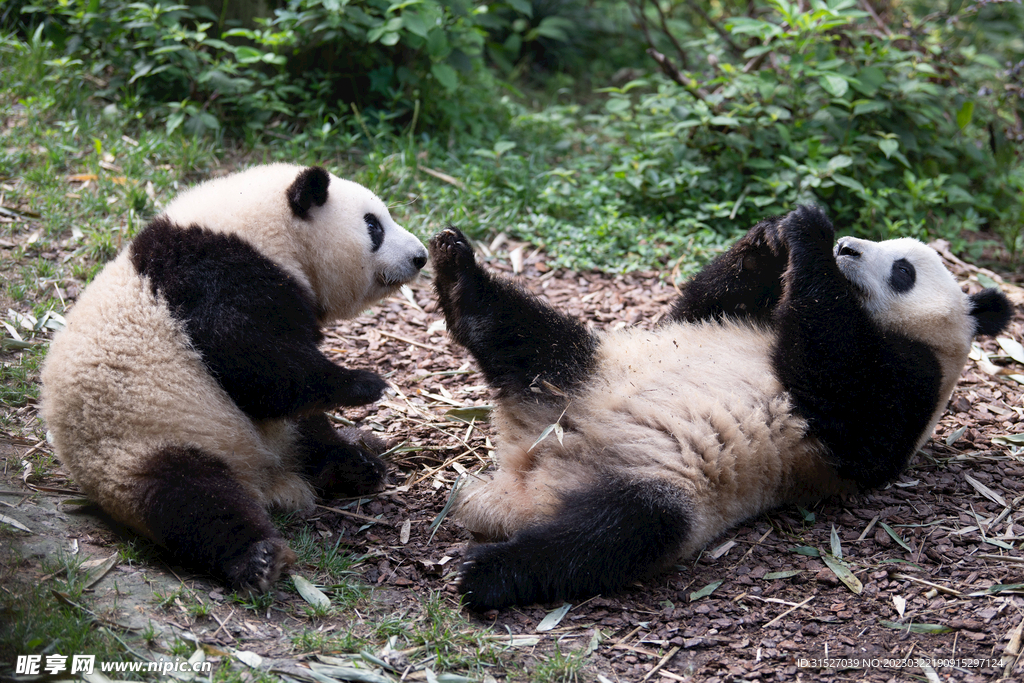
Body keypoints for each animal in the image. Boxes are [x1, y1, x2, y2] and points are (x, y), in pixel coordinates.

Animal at [41, 163, 425, 593]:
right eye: (373, 225)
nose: (420, 256)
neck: (260, 230)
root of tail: (264, 479)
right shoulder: (213, 275)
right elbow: (252, 359)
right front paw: (365, 383)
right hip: (144, 444)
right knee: (192, 500)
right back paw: (258, 557)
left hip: (264, 435)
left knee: (308, 433)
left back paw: (357, 461)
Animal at [428, 205, 1011, 610]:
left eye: (903, 270)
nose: (848, 246)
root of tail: (521, 479)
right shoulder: (724, 318)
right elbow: (695, 308)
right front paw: (772, 237)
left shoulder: (909, 384)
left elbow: (845, 388)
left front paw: (811, 233)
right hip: (581, 370)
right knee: (523, 334)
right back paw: (457, 270)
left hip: (666, 486)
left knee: (611, 535)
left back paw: (485, 573)